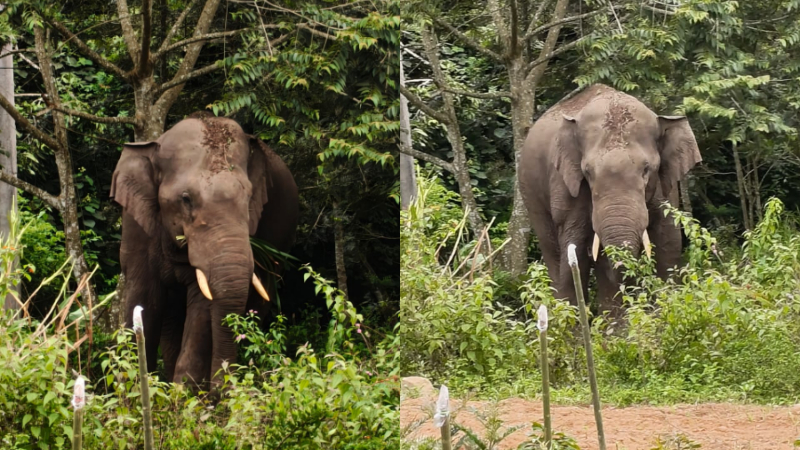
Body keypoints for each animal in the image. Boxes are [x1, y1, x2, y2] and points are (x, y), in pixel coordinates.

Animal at [111, 112, 299, 389]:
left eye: (250, 198)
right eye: (186, 199)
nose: (221, 388)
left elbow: (201, 303)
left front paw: (183, 395)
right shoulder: (136, 224)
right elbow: (144, 294)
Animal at [519, 84, 701, 316]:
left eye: (646, 169)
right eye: (587, 172)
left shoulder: (665, 186)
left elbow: (669, 241)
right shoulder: (566, 186)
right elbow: (574, 247)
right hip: (531, 197)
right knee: (553, 251)